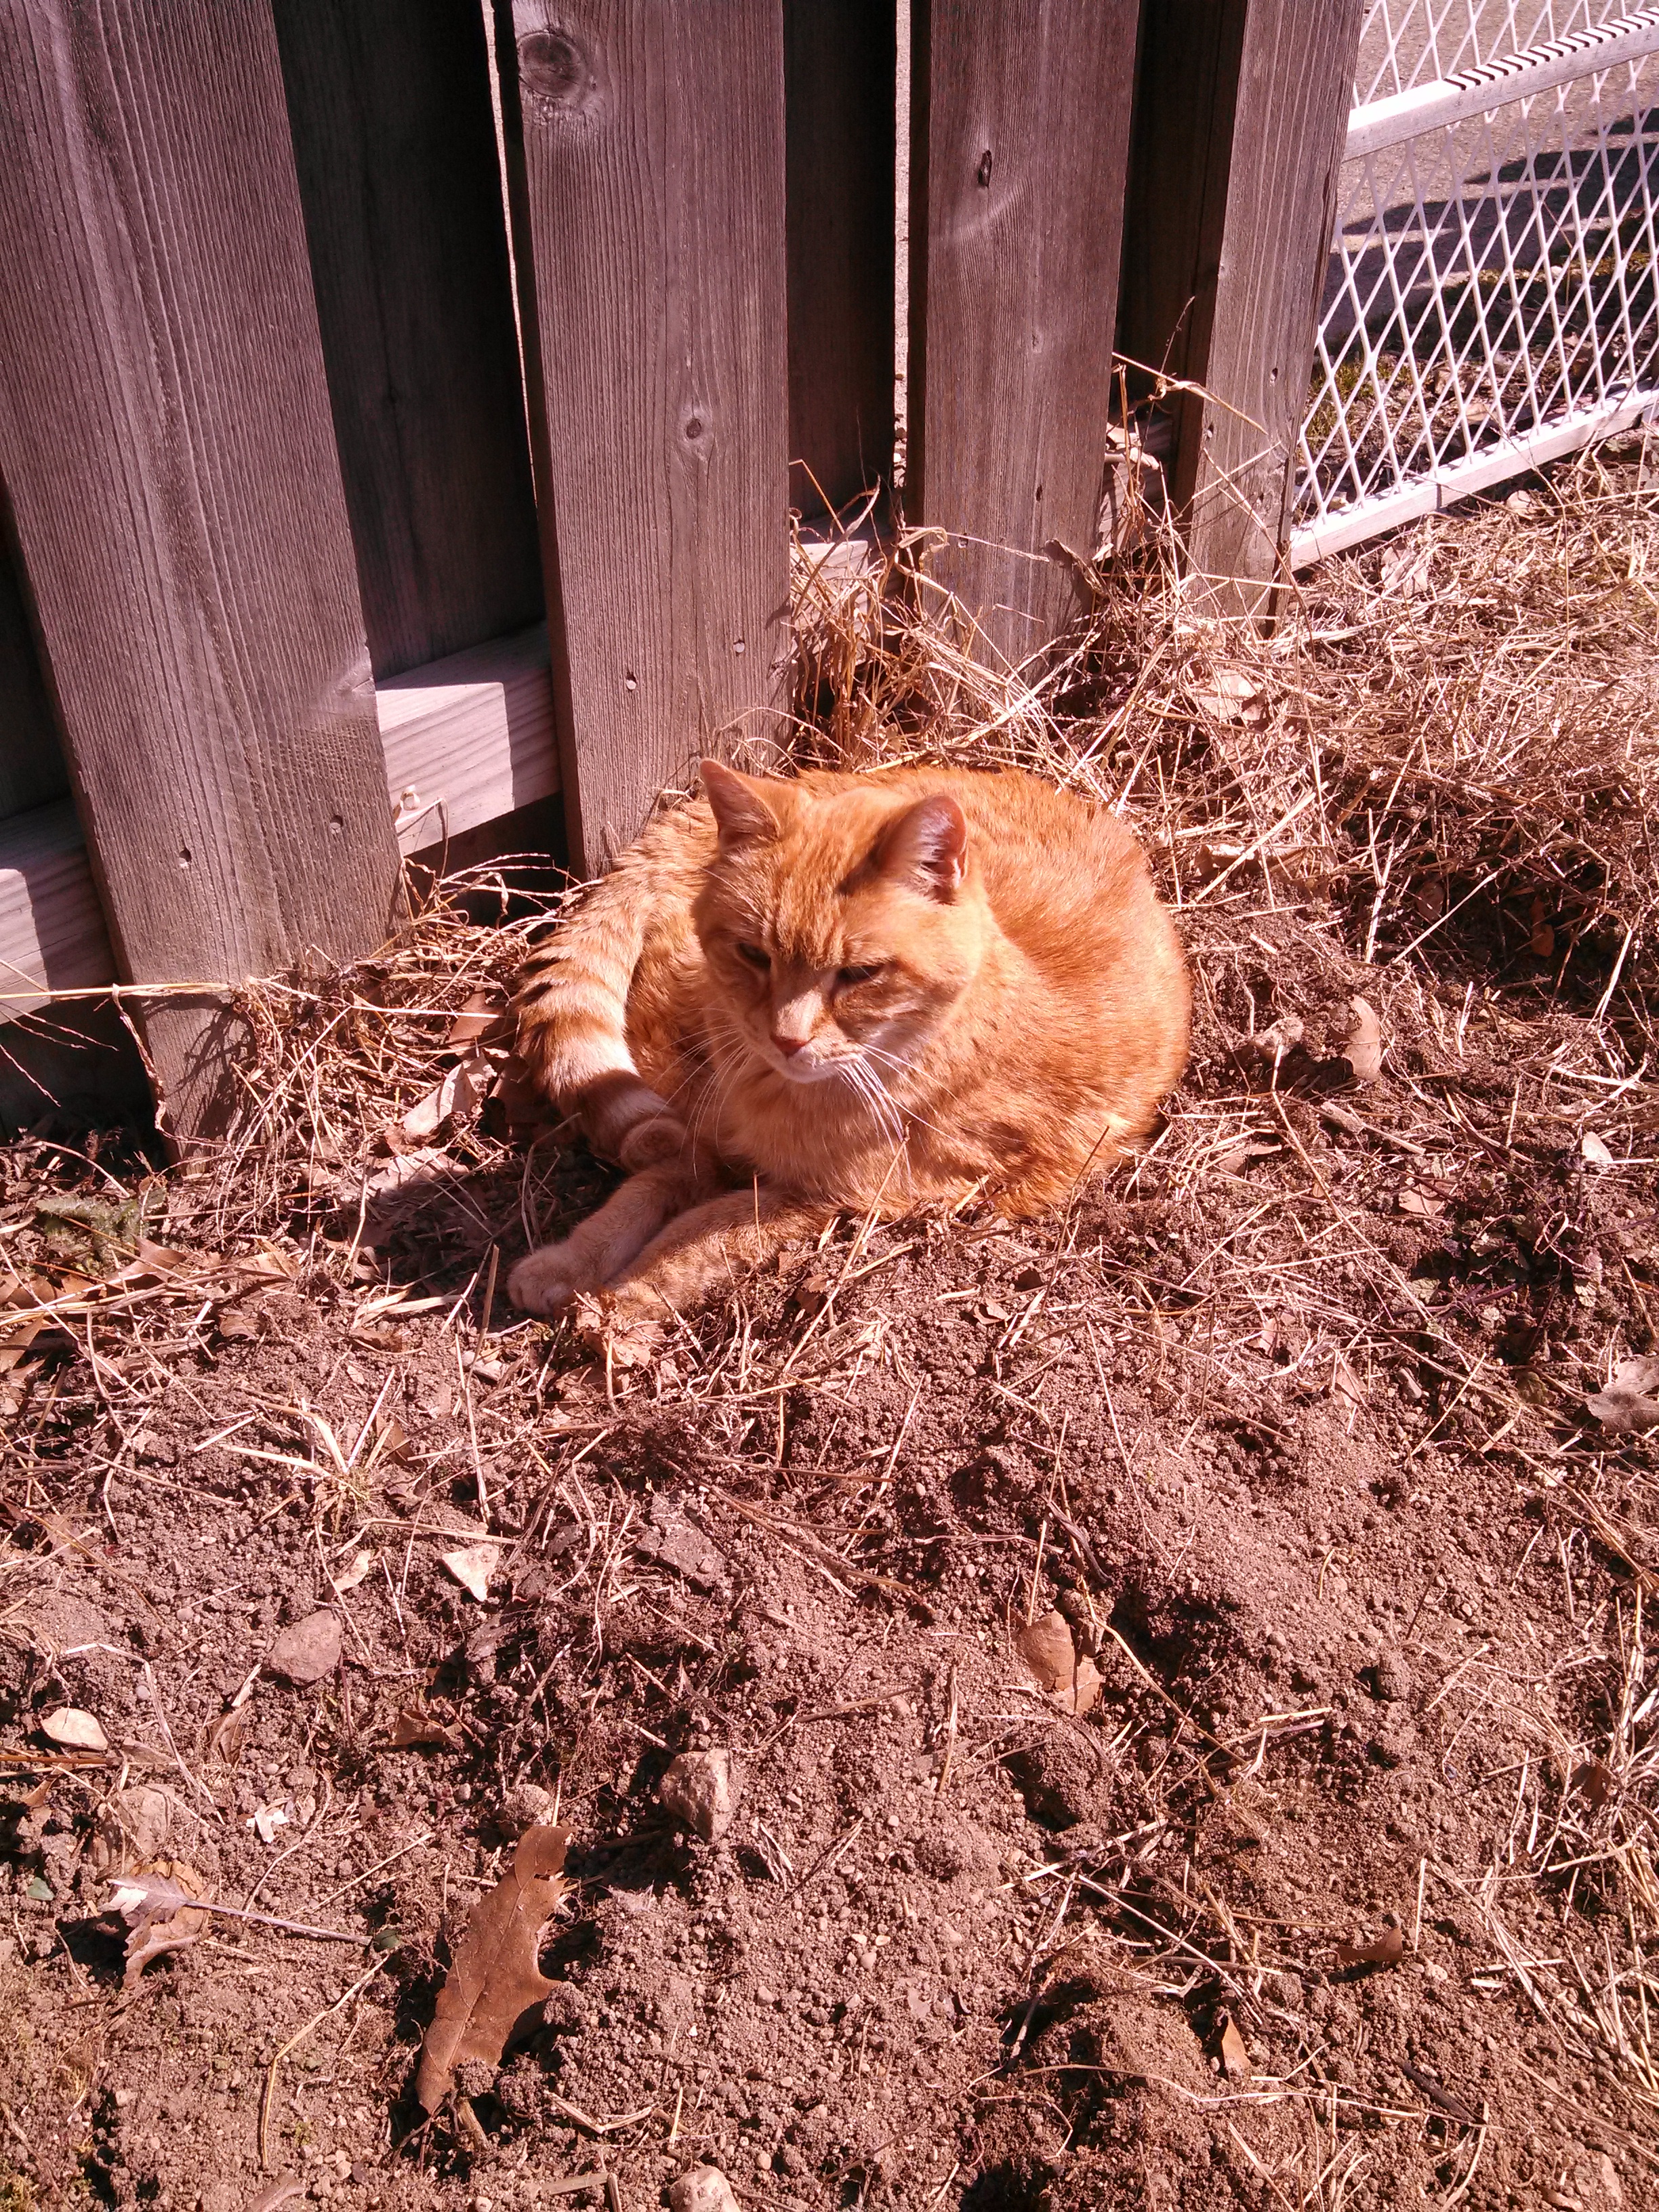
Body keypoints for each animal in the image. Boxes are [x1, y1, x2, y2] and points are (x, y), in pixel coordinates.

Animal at [513, 760, 1185, 1345]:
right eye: (753, 954)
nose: (787, 1038)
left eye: (860, 974)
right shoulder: (707, 1147)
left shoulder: (836, 1202)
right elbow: (640, 1196)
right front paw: (567, 1263)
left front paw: (623, 1298)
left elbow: (701, 1237)